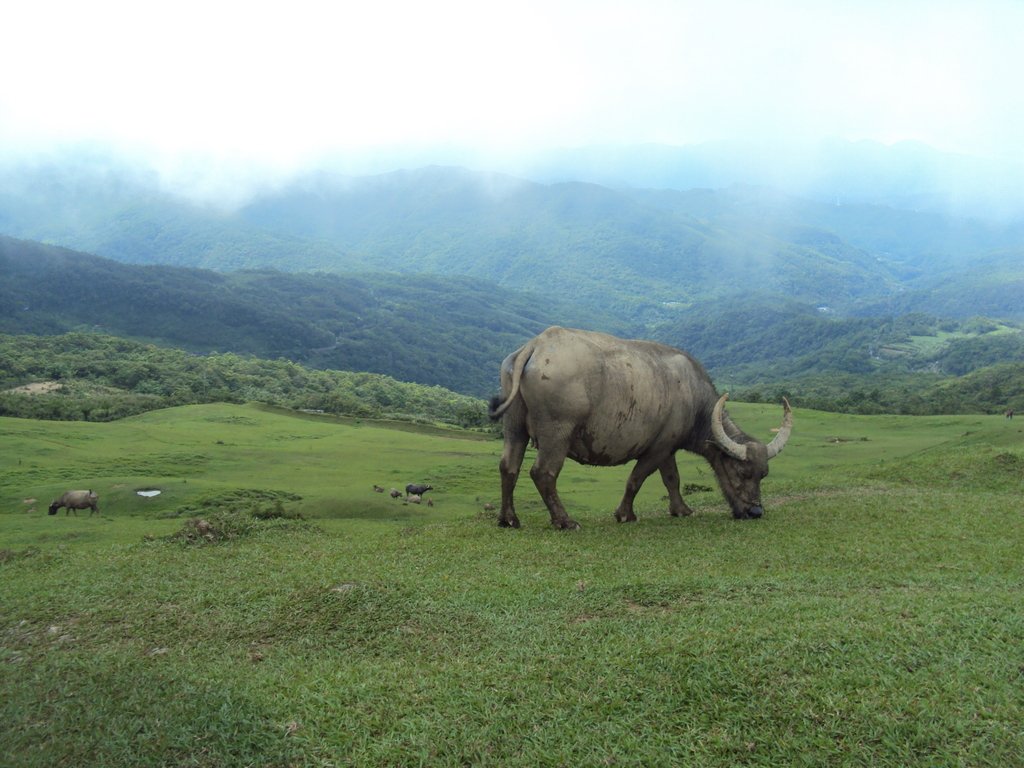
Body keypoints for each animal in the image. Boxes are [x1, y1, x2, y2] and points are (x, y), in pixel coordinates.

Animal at [487, 325, 790, 528]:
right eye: (741, 471)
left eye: (763, 474)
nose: (755, 512)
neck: (693, 397)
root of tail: (537, 345)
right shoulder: (657, 448)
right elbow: (636, 479)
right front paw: (625, 514)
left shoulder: (668, 448)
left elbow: (672, 479)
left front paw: (681, 509)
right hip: (556, 434)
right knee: (543, 473)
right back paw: (564, 521)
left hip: (514, 427)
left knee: (508, 467)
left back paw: (508, 519)